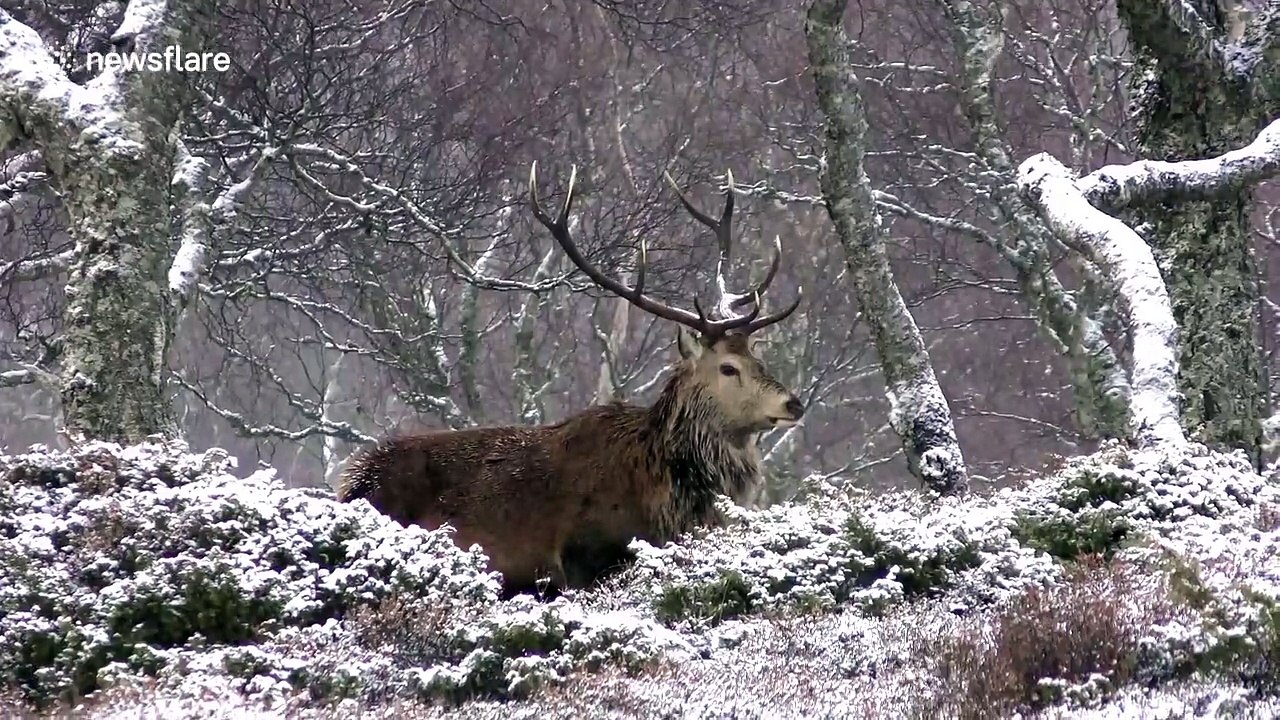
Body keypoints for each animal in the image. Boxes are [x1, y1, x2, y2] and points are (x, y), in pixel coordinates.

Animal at [336, 163, 805, 597]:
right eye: (728, 367)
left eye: (756, 356)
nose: (793, 404)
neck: (666, 496)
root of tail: (353, 484)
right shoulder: (585, 556)